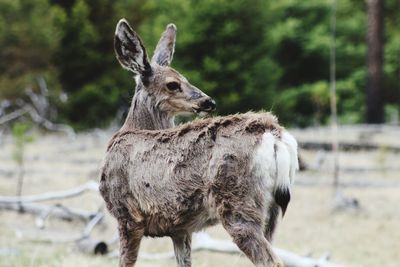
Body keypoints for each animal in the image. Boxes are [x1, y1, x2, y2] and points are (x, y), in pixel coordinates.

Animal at [100, 18, 298, 267]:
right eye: (173, 84)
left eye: (184, 79)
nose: (208, 101)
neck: (133, 129)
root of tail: (274, 134)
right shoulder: (180, 228)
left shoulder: (127, 214)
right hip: (271, 210)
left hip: (237, 203)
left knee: (271, 260)